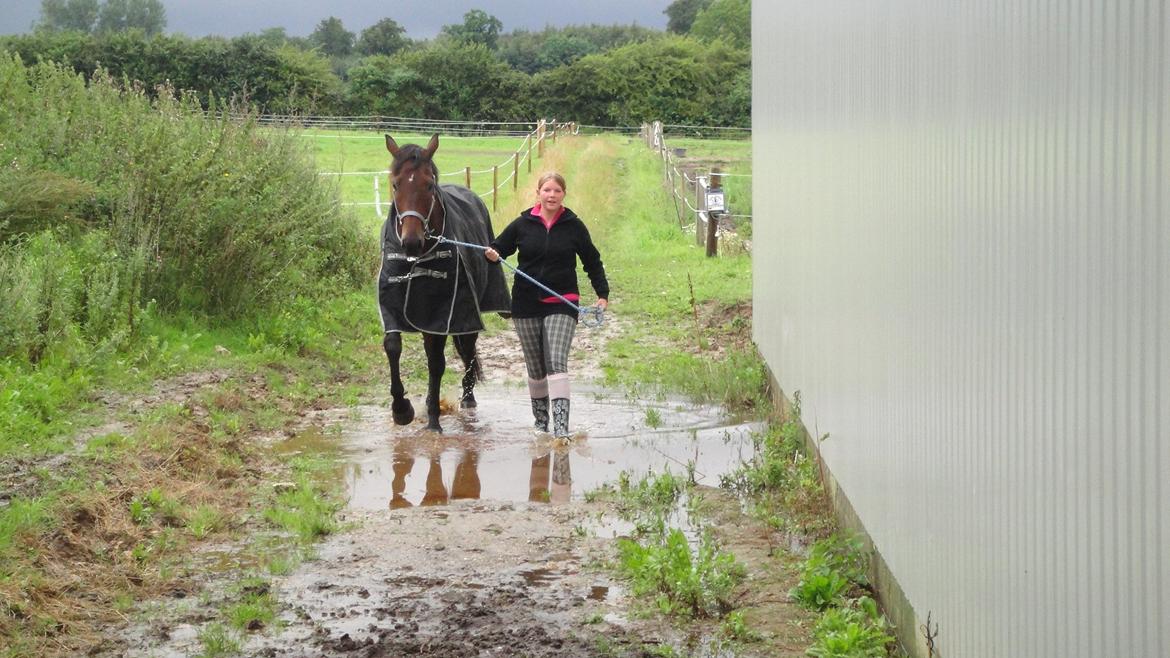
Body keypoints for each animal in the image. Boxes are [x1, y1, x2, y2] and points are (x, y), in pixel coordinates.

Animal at [376, 133, 510, 430]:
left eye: (429, 184)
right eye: (395, 184)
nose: (411, 242)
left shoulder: (441, 314)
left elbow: (436, 363)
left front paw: (434, 422)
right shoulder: (393, 308)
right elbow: (393, 347)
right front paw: (401, 409)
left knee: (466, 348)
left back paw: (467, 397)